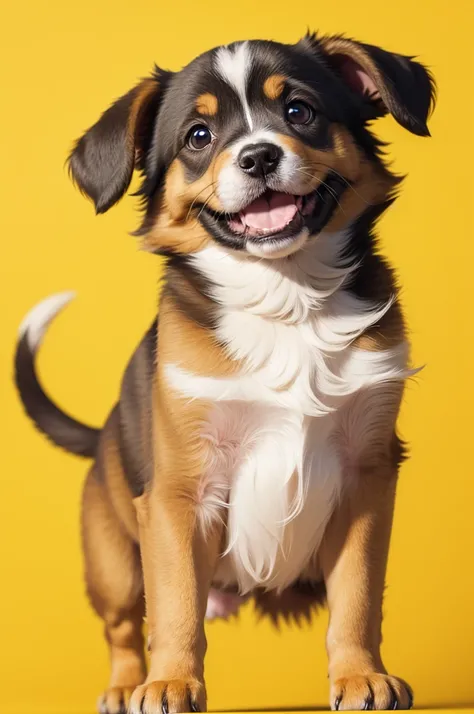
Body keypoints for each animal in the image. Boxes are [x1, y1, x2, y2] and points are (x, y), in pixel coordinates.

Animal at [15, 32, 436, 712]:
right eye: (198, 136)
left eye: (298, 111)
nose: (259, 156)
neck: (286, 299)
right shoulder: (180, 492)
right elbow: (176, 606)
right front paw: (169, 683)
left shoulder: (367, 475)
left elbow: (357, 595)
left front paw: (360, 675)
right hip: (112, 562)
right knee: (125, 626)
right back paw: (126, 685)